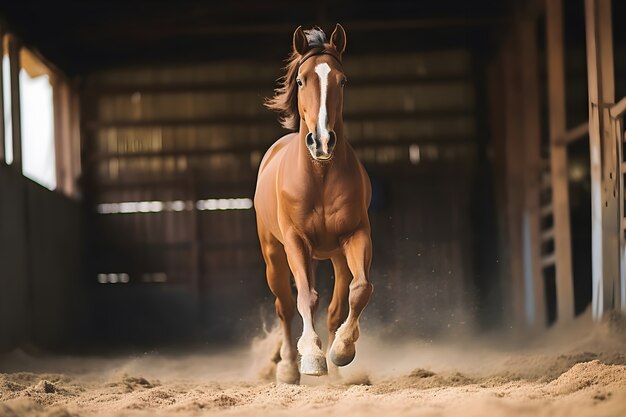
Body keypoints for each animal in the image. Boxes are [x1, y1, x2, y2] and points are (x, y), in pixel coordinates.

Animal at [252, 24, 370, 384]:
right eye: (302, 81)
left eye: (342, 81)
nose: (322, 141)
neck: (320, 175)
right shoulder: (295, 242)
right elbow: (304, 298)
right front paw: (312, 357)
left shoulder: (356, 235)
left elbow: (360, 290)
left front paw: (342, 350)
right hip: (274, 257)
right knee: (285, 306)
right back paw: (289, 366)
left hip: (336, 257)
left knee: (336, 306)